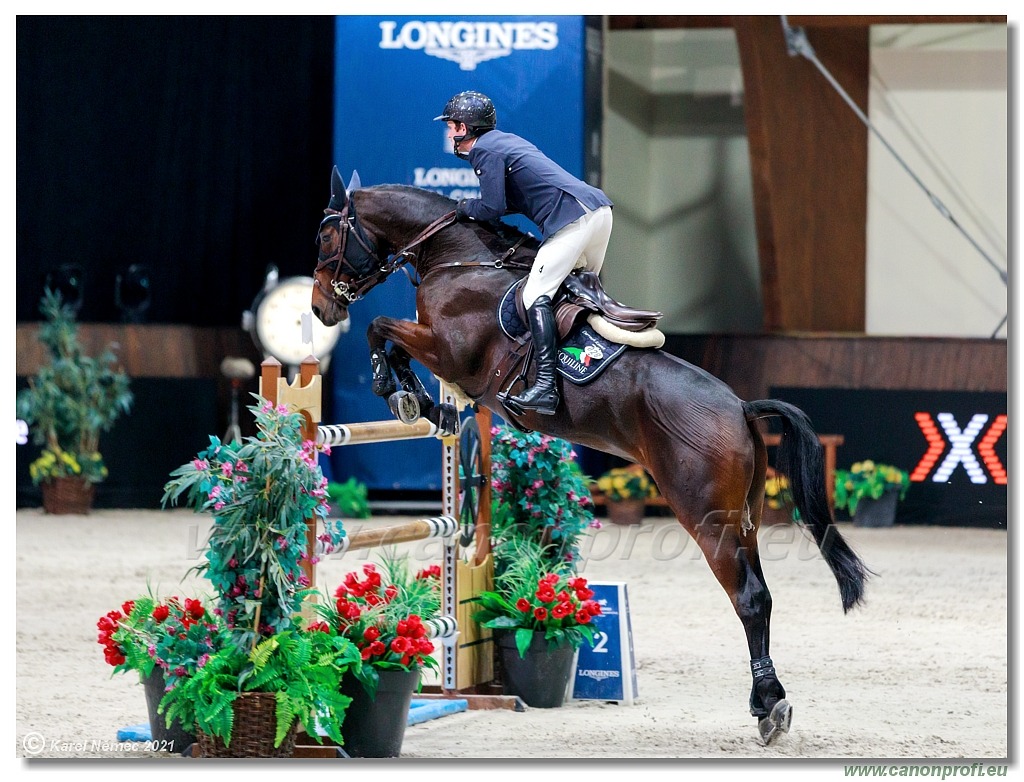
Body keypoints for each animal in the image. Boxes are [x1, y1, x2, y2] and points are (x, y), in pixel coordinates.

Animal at [311, 166, 872, 745]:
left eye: (326, 238)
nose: (319, 308)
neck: (458, 259)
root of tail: (740, 407)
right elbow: (392, 338)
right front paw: (425, 404)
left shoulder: (449, 351)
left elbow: (382, 329)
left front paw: (402, 394)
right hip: (747, 518)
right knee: (759, 592)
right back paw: (770, 702)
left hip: (706, 517)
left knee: (749, 597)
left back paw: (768, 707)